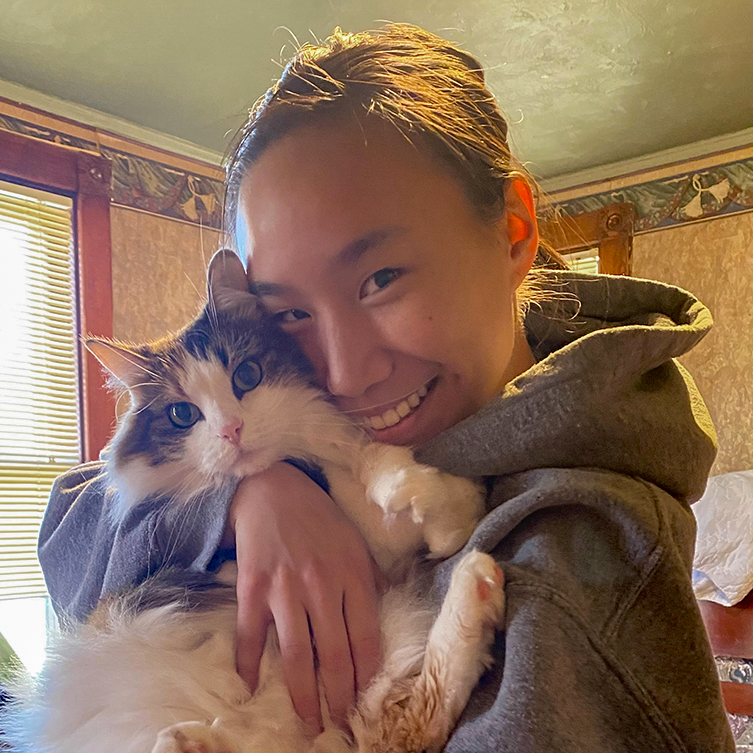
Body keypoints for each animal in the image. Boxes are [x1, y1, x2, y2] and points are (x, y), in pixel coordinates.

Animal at [7, 250, 506, 748]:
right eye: (182, 414)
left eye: (246, 376)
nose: (231, 430)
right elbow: (372, 483)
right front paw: (448, 504)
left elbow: (375, 462)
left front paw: (448, 505)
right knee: (409, 721)